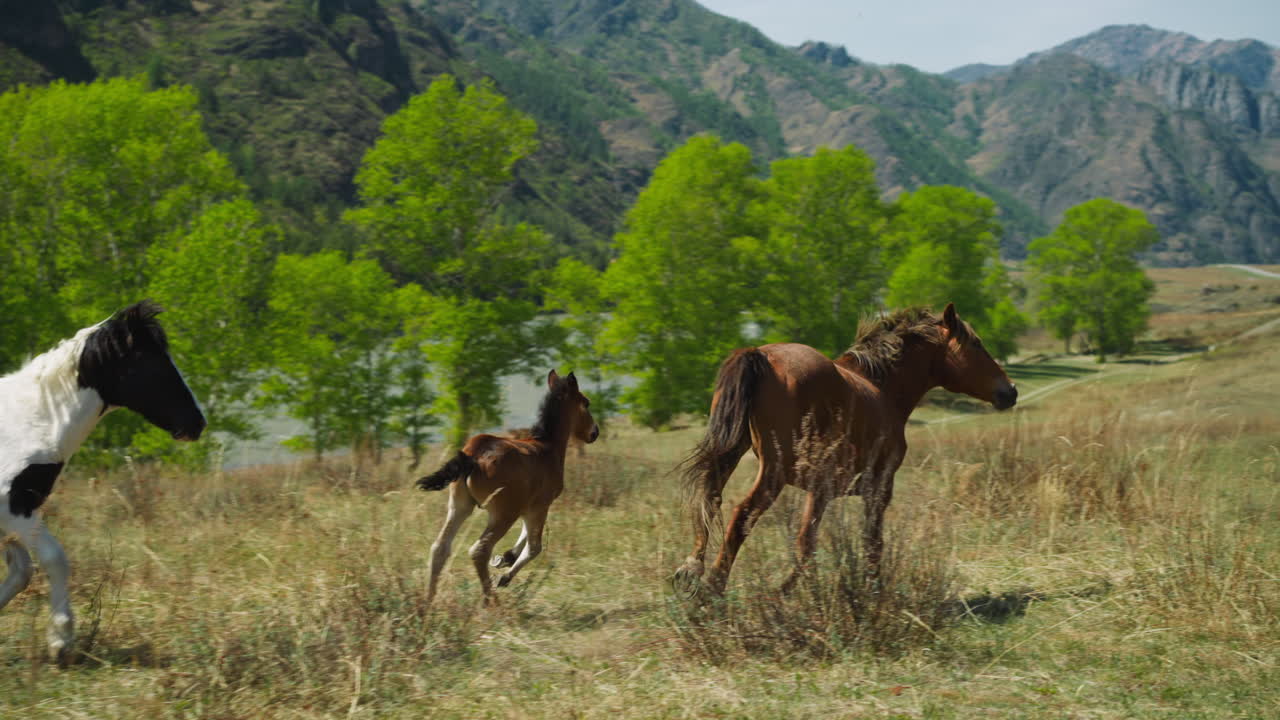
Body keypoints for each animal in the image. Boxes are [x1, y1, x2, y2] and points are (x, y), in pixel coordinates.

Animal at [0, 300, 206, 660]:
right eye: (155, 364)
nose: (196, 422)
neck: (29, 421)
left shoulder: (15, 515)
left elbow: (20, 573)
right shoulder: (15, 508)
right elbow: (54, 559)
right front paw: (61, 642)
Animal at [417, 370, 598, 605]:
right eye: (586, 403)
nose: (594, 432)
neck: (547, 446)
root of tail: (473, 455)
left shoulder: (528, 507)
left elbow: (524, 537)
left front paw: (506, 558)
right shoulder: (540, 505)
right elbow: (534, 547)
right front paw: (504, 577)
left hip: (459, 506)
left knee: (440, 547)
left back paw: (428, 601)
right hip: (502, 514)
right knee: (479, 550)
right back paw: (491, 600)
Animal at [675, 303, 1017, 596]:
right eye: (976, 344)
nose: (1010, 392)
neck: (882, 388)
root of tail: (759, 354)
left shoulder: (824, 490)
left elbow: (812, 544)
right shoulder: (874, 488)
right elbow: (865, 542)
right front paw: (868, 591)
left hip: (734, 451)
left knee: (710, 497)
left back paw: (692, 570)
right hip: (773, 472)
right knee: (742, 515)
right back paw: (713, 588)